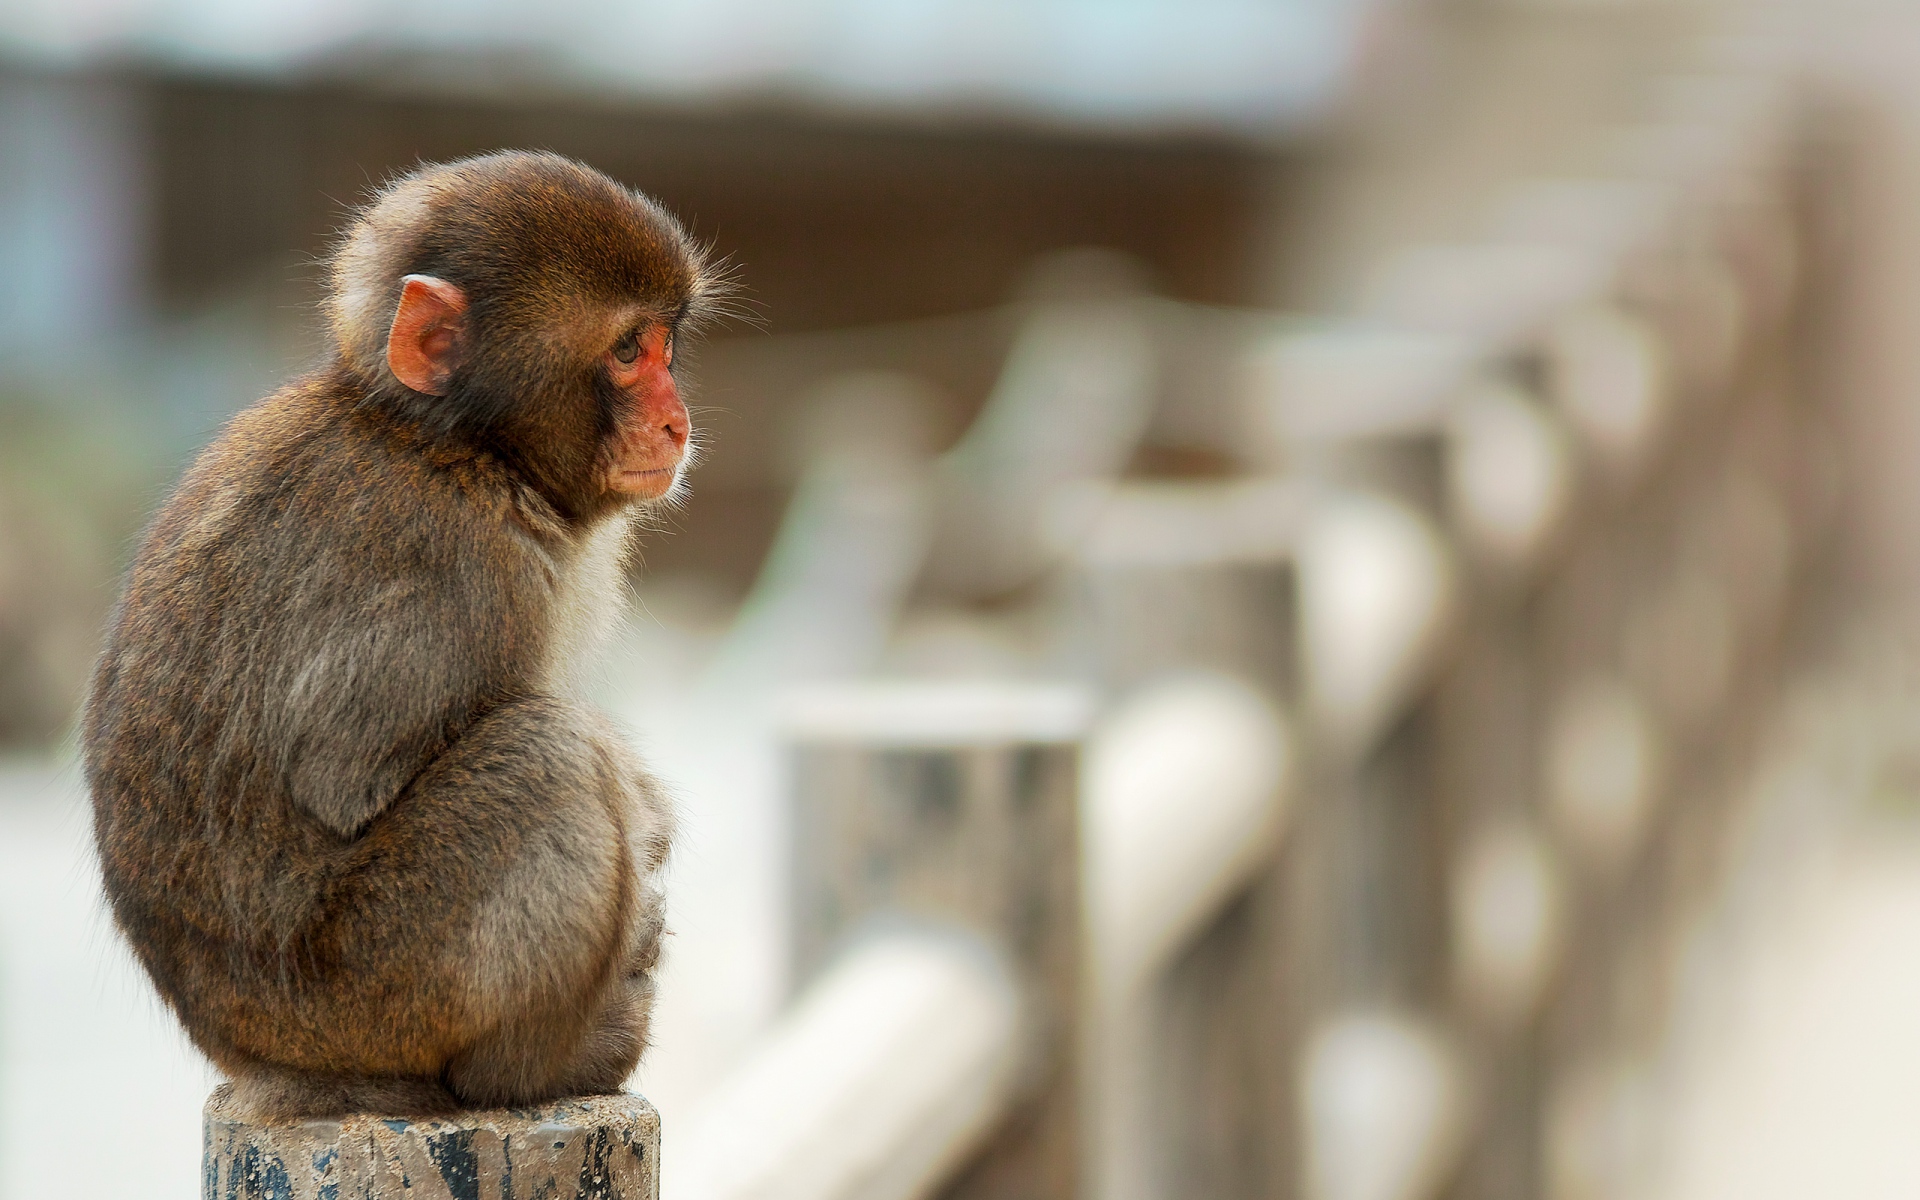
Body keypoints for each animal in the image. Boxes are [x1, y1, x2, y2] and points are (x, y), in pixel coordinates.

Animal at [82, 151, 723, 1119]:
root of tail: (255, 1058)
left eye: (665, 347)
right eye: (625, 351)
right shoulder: (454, 566)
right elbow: (348, 781)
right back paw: (537, 1068)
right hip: (374, 990)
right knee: (548, 754)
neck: (456, 446)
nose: (676, 420)